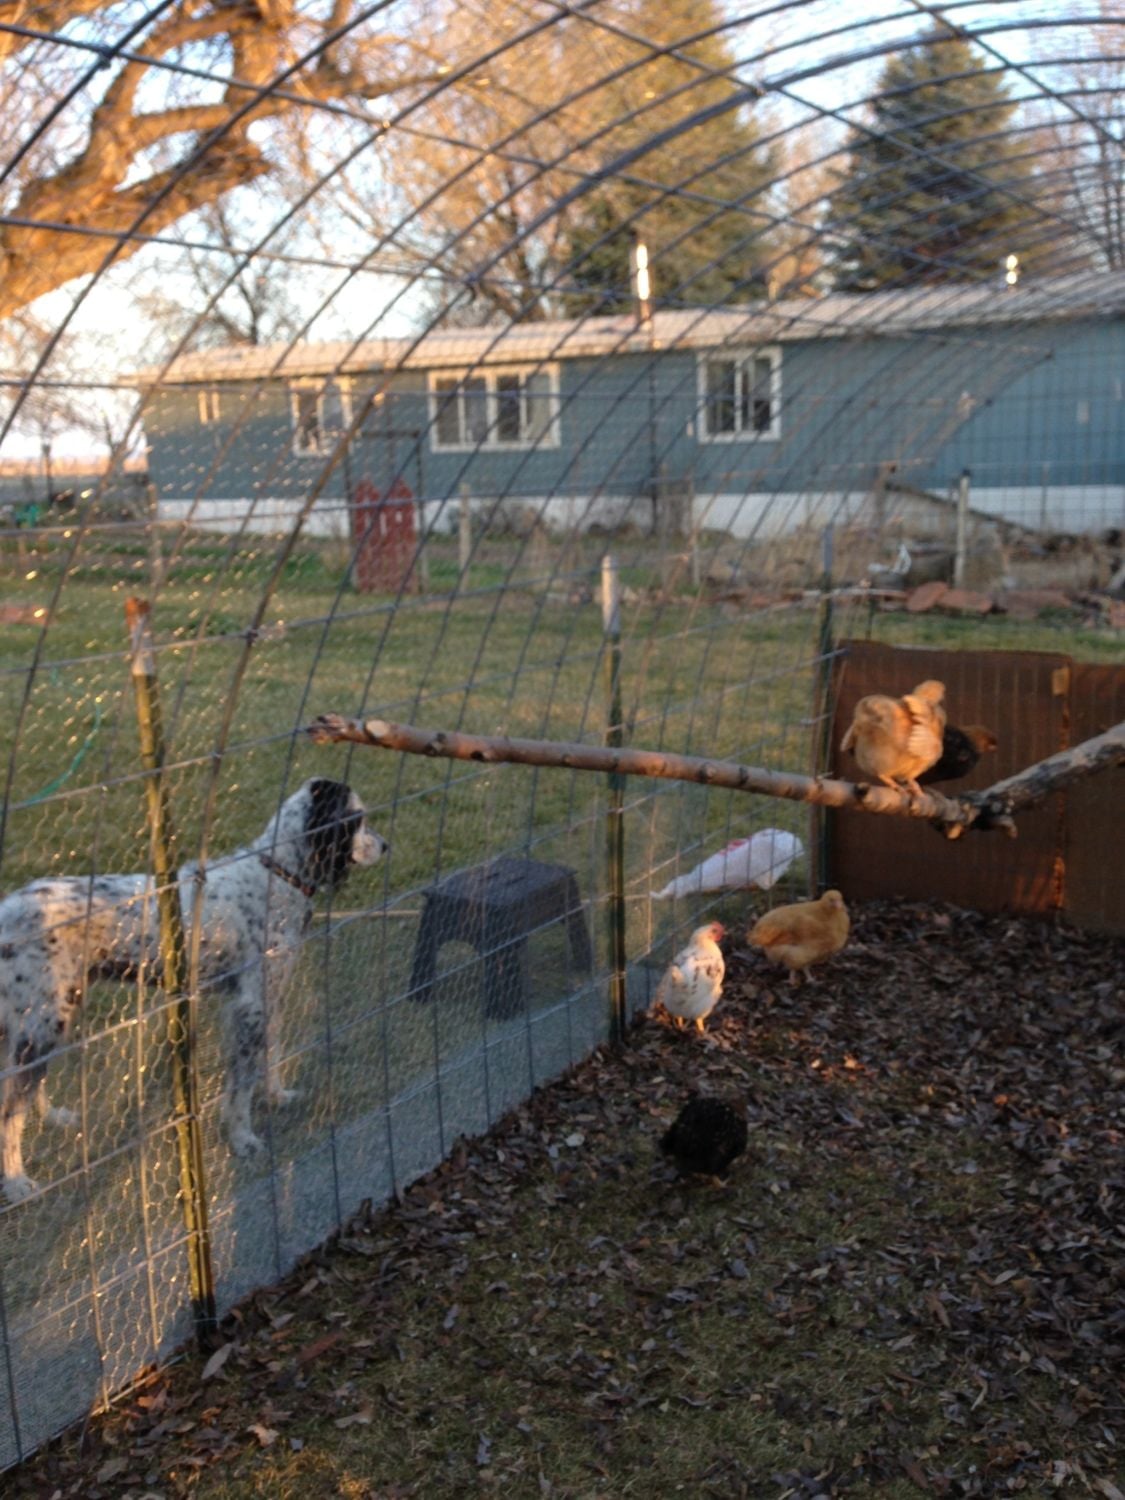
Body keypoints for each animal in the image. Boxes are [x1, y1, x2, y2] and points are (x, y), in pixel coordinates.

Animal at [0, 778, 387, 1203]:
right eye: (358, 820)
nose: (386, 845)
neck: (276, 874)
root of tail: (7, 909)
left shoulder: (265, 998)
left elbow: (270, 1055)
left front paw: (277, 1096)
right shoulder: (249, 1007)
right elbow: (240, 1087)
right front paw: (242, 1137)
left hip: (48, 1017)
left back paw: (53, 1117)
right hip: (42, 1024)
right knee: (9, 1110)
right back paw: (16, 1181)